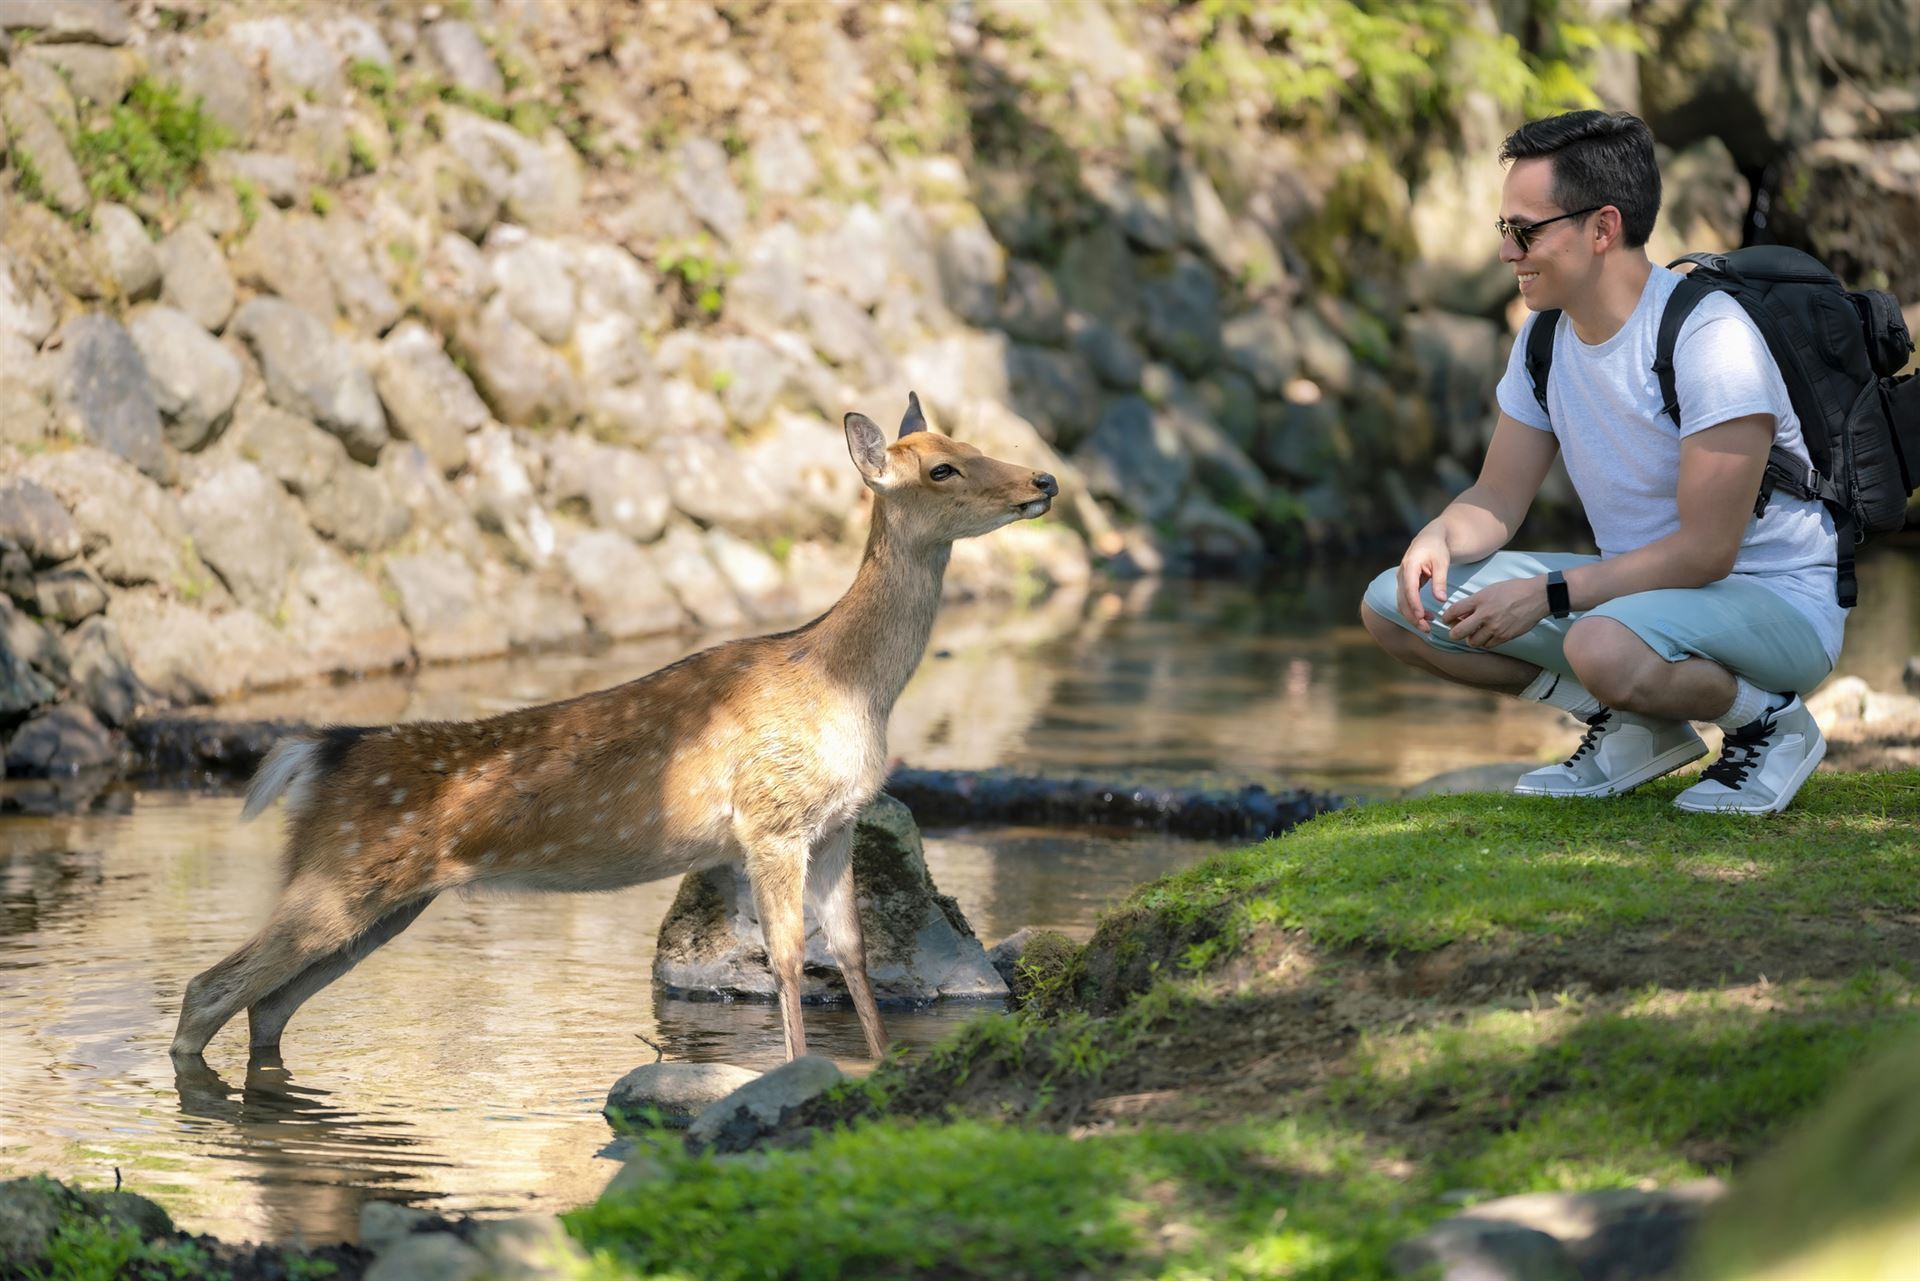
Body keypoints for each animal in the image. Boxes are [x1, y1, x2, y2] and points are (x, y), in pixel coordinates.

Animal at [169, 394, 1059, 1069]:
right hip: (338, 877)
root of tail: (319, 754)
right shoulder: (769, 820)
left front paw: (876, 1065)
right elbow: (786, 959)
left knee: (267, 1007)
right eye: (941, 467)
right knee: (206, 989)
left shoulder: (835, 823)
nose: (1044, 478)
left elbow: (852, 954)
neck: (848, 682)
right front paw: (798, 1071)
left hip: (385, 903)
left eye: (970, 442)